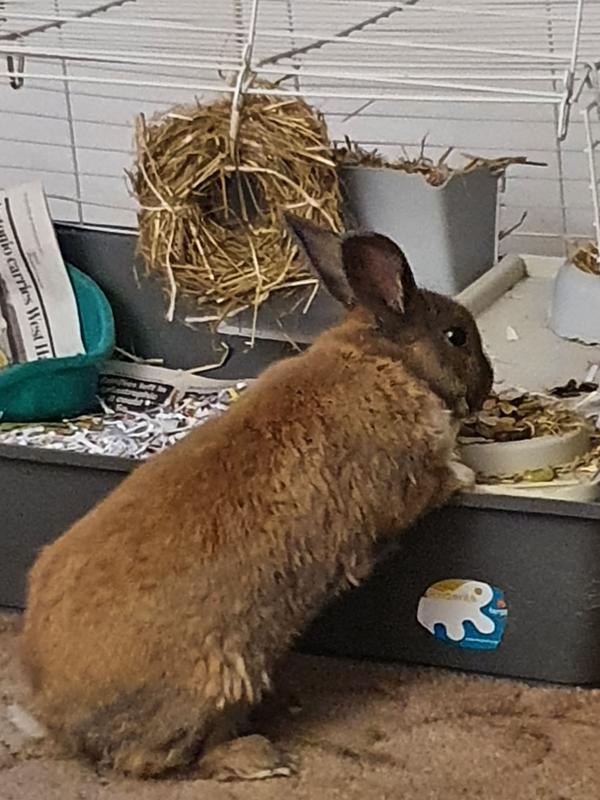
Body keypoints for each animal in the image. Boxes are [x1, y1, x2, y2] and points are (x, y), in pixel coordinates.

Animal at [20, 214, 493, 782]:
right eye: (457, 336)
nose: (489, 385)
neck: (387, 362)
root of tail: (58, 718)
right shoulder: (407, 480)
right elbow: (438, 481)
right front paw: (467, 473)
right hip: (221, 684)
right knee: (166, 759)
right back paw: (262, 757)